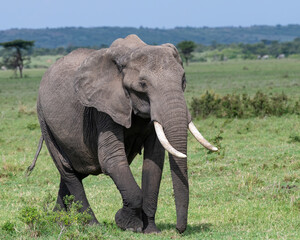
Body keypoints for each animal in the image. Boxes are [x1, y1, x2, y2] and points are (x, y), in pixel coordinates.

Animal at [28, 34, 217, 233]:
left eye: (183, 80)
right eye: (142, 84)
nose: (179, 230)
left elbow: (154, 161)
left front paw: (151, 230)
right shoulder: (103, 108)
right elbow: (111, 159)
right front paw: (128, 224)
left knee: (77, 171)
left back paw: (58, 222)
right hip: (44, 120)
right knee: (67, 170)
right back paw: (92, 226)